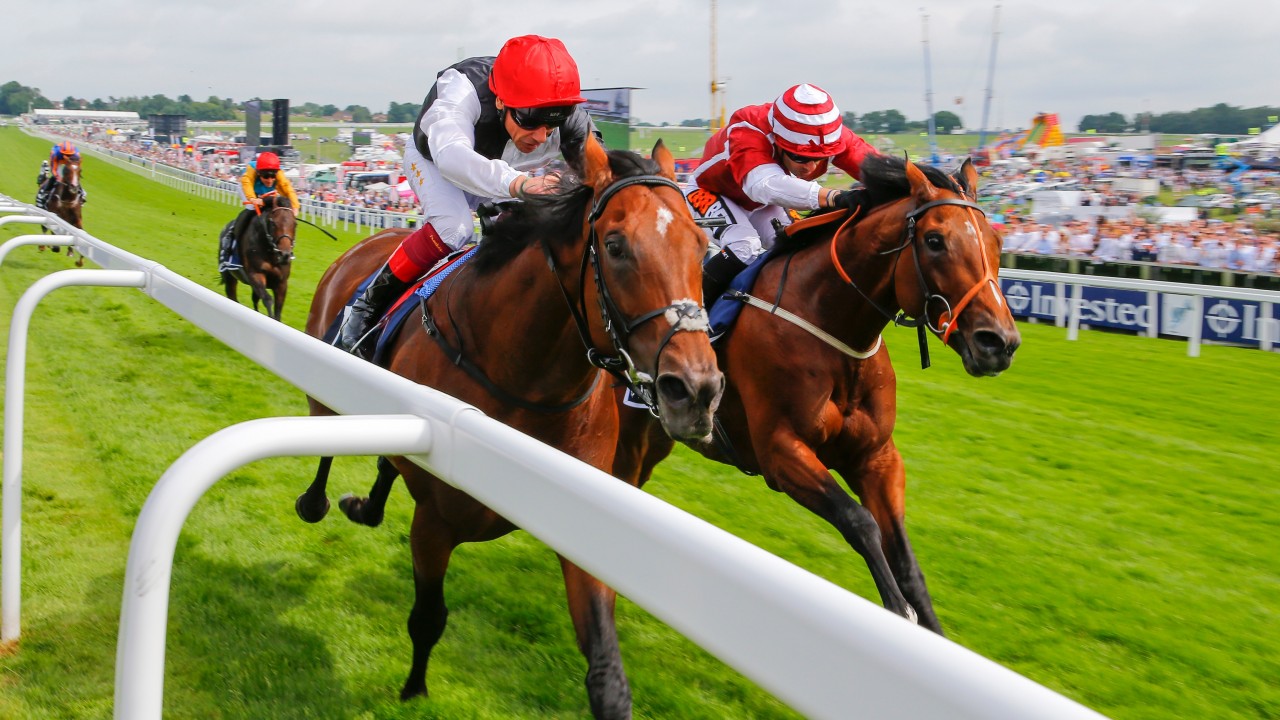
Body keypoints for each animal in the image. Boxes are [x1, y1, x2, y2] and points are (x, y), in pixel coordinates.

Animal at [295, 138, 723, 717]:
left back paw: (367, 506)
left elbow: (608, 676)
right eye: (615, 246)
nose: (696, 390)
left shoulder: (585, 523)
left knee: (387, 463)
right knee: (324, 439)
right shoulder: (434, 522)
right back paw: (315, 500)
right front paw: (413, 692)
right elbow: (427, 619)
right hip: (327, 377)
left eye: (702, 246)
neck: (525, 382)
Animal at [611, 155, 1021, 636]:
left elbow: (906, 561)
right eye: (935, 240)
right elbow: (860, 522)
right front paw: (898, 613)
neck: (829, 324)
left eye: (996, 241)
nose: (999, 342)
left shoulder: (877, 457)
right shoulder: (780, 452)